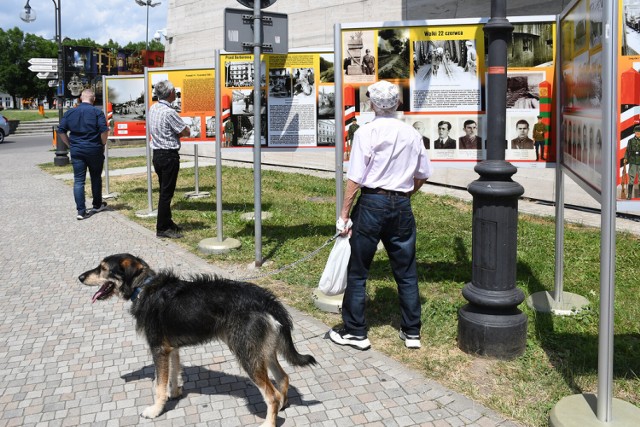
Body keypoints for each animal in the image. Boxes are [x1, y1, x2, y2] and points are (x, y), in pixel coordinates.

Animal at [80, 252, 318, 426]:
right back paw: (282, 406)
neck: (143, 287)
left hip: (247, 355)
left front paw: (155, 410)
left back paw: (270, 421)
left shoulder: (158, 349)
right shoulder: (171, 349)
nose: (80, 277)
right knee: (283, 378)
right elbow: (173, 375)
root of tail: (266, 299)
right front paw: (175, 393)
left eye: (103, 268)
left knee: (271, 394)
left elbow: (158, 385)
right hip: (262, 351)